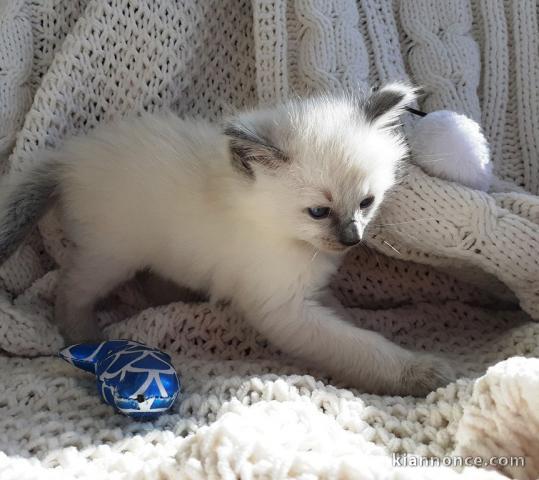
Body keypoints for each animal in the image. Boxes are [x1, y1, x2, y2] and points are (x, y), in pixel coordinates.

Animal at [0, 84, 456, 396]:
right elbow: (360, 347)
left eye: (366, 202)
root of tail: (68, 156)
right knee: (70, 290)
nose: (352, 238)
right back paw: (84, 337)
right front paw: (421, 372)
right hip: (110, 254)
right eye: (318, 212)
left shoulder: (311, 292)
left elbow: (348, 321)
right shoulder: (286, 309)